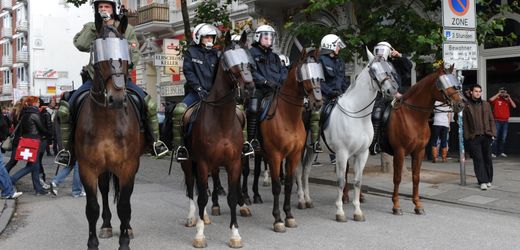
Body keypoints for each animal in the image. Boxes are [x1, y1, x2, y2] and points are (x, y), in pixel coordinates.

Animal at [73, 14, 142, 250]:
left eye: (124, 52)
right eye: (100, 53)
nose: (116, 98)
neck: (107, 122)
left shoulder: (128, 166)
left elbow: (124, 205)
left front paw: (124, 240)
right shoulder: (87, 168)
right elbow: (92, 207)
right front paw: (92, 242)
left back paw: (127, 228)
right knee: (104, 190)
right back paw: (106, 225)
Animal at [180, 31, 255, 248]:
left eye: (249, 59)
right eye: (230, 62)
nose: (249, 88)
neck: (221, 121)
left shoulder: (233, 162)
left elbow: (231, 197)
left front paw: (235, 234)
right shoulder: (203, 162)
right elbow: (201, 197)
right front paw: (199, 235)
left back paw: (204, 216)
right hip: (188, 162)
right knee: (192, 188)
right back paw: (193, 217)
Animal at [256, 48, 320, 232]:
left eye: (319, 73)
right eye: (305, 74)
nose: (318, 102)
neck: (287, 117)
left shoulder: (294, 155)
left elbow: (290, 184)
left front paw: (289, 216)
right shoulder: (275, 155)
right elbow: (277, 186)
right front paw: (278, 219)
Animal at [296, 48, 398, 221]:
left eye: (389, 68)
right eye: (373, 70)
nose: (392, 90)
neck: (357, 115)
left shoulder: (362, 154)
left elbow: (357, 181)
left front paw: (357, 211)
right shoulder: (342, 153)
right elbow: (341, 181)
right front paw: (340, 211)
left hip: (311, 149)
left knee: (305, 172)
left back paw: (308, 200)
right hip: (300, 148)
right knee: (297, 170)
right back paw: (301, 200)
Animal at [386, 65, 464, 216]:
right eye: (444, 84)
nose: (461, 104)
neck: (412, 116)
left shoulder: (419, 152)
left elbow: (416, 177)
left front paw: (417, 205)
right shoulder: (399, 152)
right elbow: (397, 178)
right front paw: (396, 206)